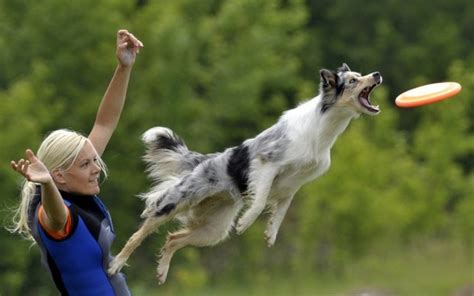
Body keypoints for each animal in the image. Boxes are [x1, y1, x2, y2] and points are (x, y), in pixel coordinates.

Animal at [107, 63, 382, 284]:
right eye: (353, 80)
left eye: (361, 75)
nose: (377, 74)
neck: (323, 129)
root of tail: (204, 161)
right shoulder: (266, 164)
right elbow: (259, 201)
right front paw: (246, 222)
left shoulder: (293, 185)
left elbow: (281, 211)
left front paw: (270, 234)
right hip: (175, 202)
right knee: (138, 234)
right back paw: (116, 264)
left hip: (213, 231)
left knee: (173, 238)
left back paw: (162, 272)